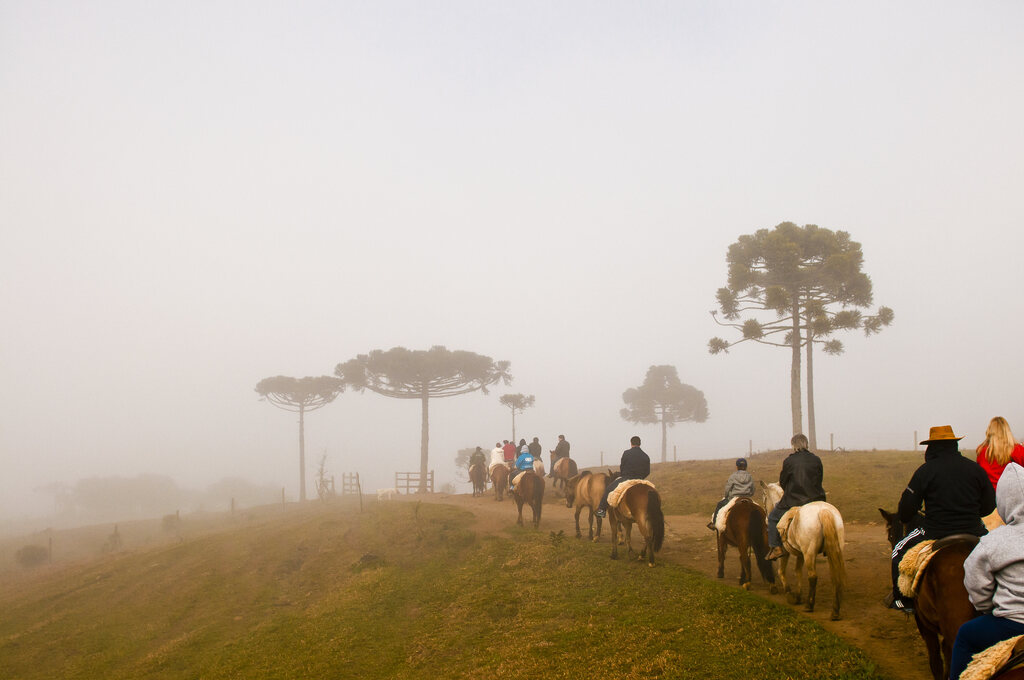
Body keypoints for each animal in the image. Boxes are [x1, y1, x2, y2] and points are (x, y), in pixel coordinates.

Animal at [761, 481, 847, 618]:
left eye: (764, 498)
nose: (765, 519)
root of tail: (822, 510)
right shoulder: (800, 554)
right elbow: (798, 571)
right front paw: (798, 595)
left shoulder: (785, 553)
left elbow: (781, 571)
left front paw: (790, 594)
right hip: (833, 549)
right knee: (835, 575)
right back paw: (835, 610)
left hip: (809, 553)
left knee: (813, 577)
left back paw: (809, 605)